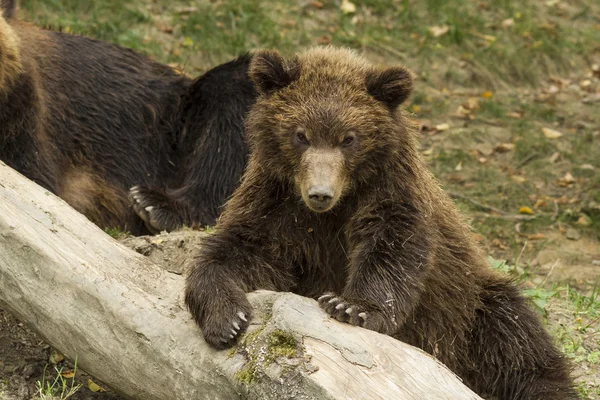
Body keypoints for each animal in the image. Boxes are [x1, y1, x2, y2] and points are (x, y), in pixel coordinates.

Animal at [186, 47, 576, 400]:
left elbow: (392, 249)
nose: (320, 193)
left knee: (513, 338)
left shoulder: (388, 192)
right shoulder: (276, 202)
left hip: (468, 306)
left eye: (348, 138)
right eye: (301, 134)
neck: (335, 210)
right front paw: (228, 318)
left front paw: (350, 306)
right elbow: (236, 250)